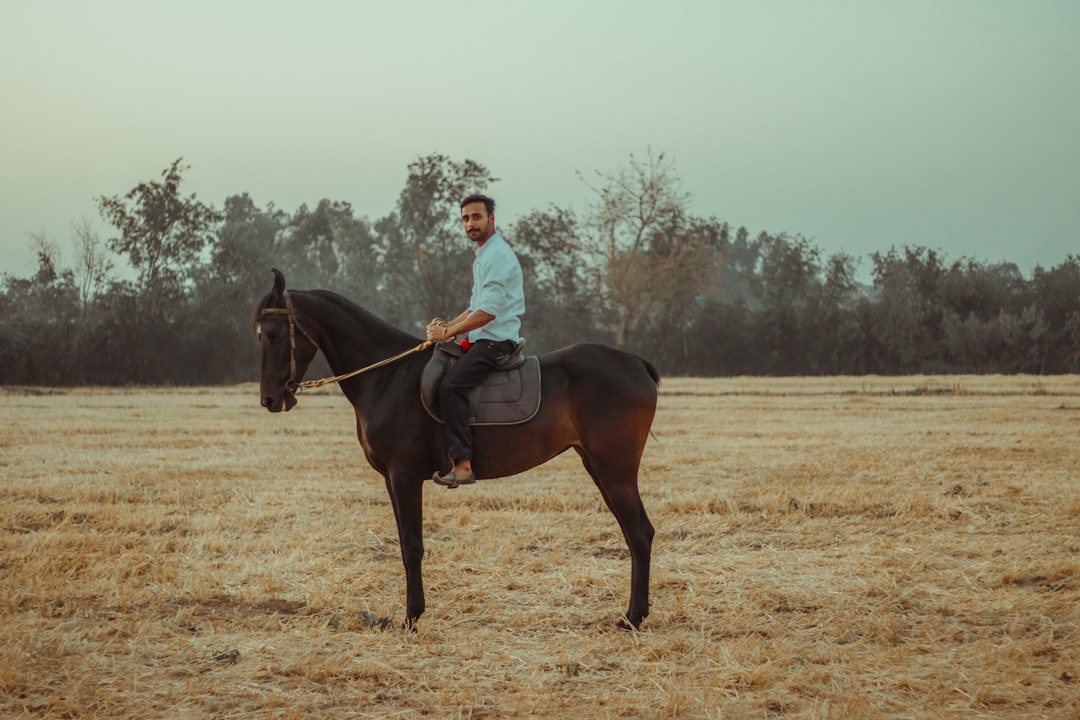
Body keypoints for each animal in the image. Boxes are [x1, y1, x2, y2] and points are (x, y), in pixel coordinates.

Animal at [254, 269, 656, 630]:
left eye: (273, 334)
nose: (270, 400)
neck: (387, 378)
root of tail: (637, 363)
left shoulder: (404, 476)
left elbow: (412, 547)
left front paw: (412, 618)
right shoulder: (391, 480)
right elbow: (405, 544)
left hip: (614, 469)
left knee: (639, 533)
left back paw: (633, 618)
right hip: (598, 466)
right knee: (632, 532)